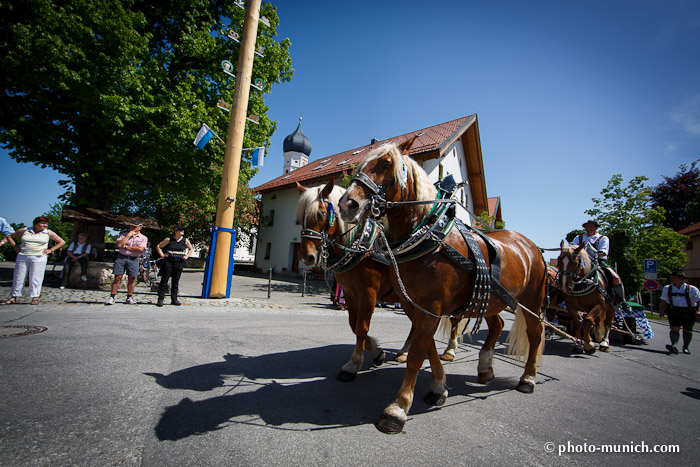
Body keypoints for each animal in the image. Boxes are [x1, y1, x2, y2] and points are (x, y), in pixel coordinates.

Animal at [338, 139, 548, 436]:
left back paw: (528, 377)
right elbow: (427, 348)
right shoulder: (414, 306)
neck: (429, 238)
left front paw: (398, 408)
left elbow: (417, 354)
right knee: (496, 326)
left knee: (535, 333)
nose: (348, 204)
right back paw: (485, 368)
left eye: (386, 164)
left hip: (531, 301)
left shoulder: (430, 307)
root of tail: (531, 245)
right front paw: (438, 388)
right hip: (492, 299)